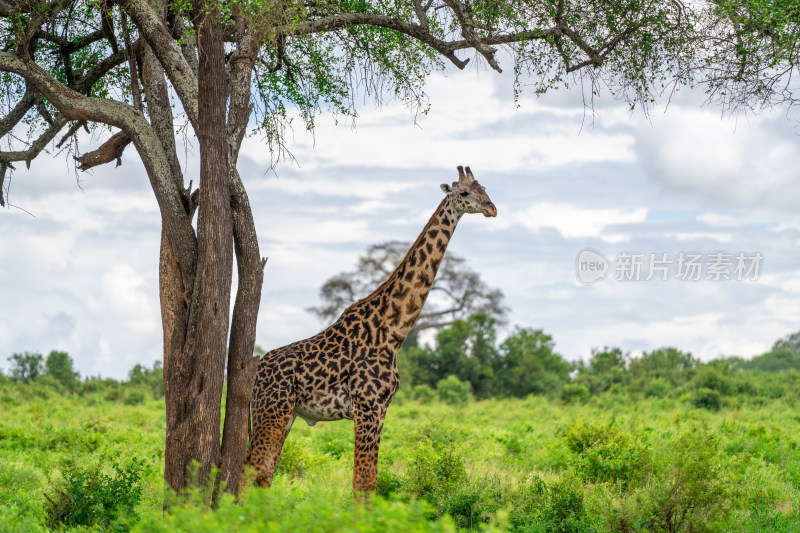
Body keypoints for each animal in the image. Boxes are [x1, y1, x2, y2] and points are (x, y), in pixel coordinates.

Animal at [245, 164, 494, 492]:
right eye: (465, 192)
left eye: (485, 189)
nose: (492, 208)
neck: (393, 331)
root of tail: (255, 370)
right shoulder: (367, 407)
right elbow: (363, 482)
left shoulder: (382, 409)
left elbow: (369, 481)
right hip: (270, 412)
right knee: (247, 469)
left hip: (285, 416)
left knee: (263, 474)